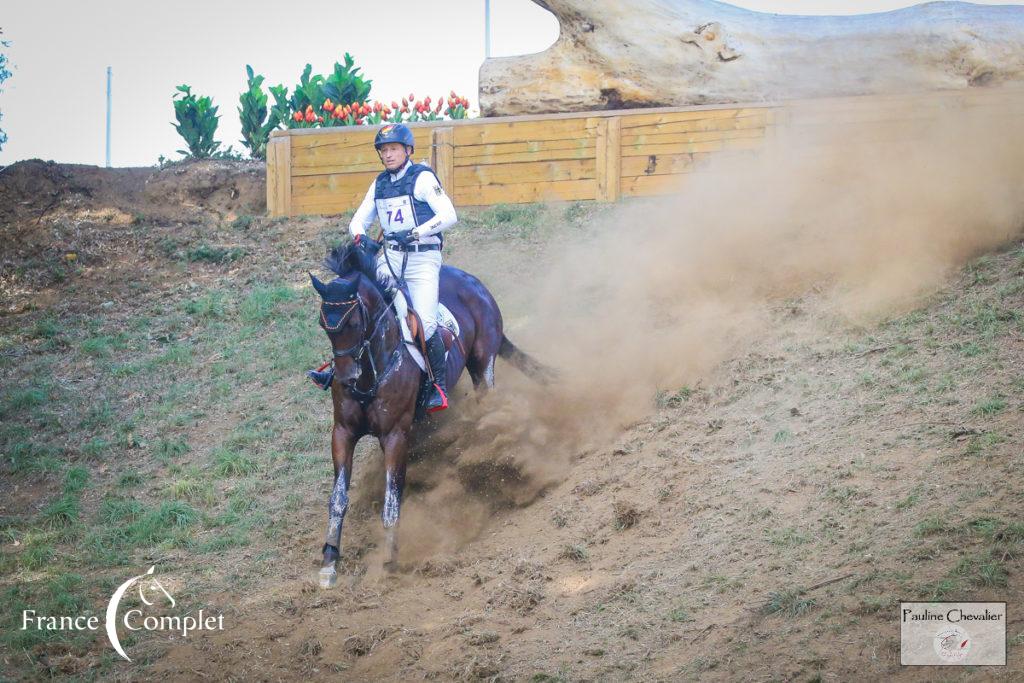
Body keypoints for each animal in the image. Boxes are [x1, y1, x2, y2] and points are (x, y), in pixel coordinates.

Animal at [311, 241, 552, 589]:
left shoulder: (396, 435)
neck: (373, 370)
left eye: (354, 323)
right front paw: (330, 560)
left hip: (483, 365)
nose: (345, 379)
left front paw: (389, 561)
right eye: (324, 325)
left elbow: (392, 500)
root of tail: (475, 285)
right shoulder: (343, 432)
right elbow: (338, 498)